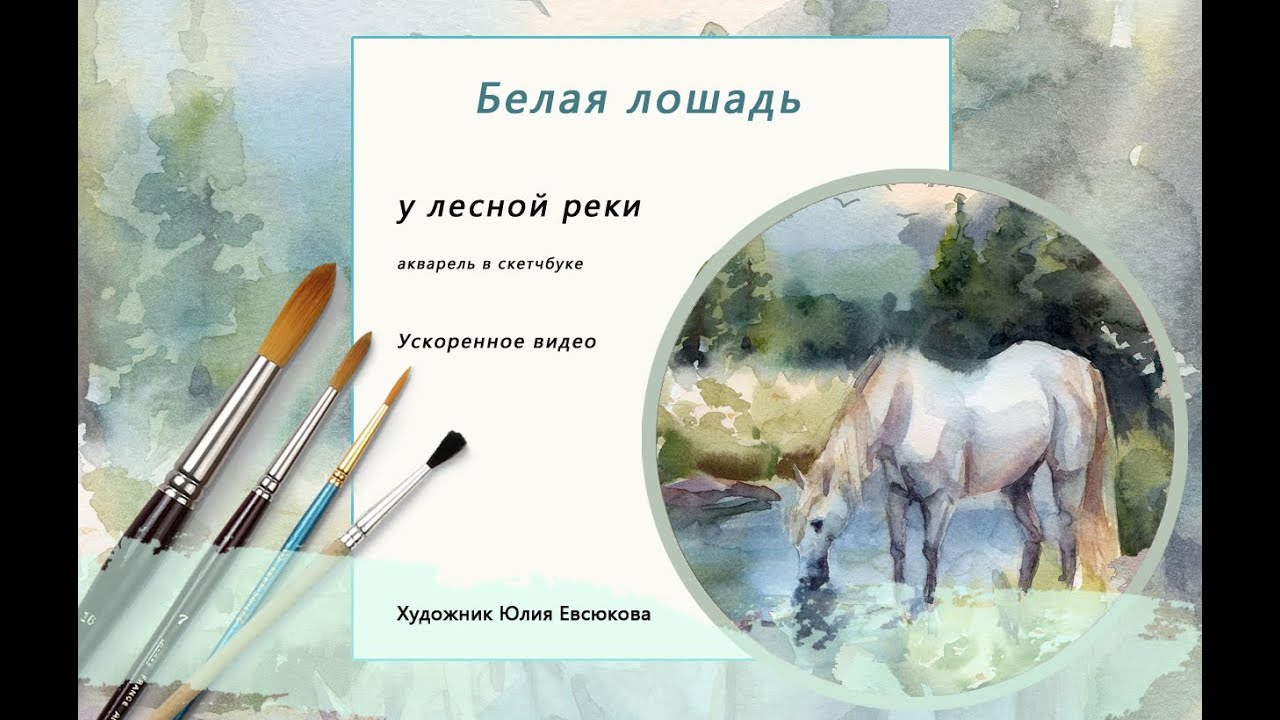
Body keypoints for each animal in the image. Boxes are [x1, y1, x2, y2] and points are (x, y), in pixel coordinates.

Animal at [783, 341, 1122, 605]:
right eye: (792, 526)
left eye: (817, 523)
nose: (807, 582)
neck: (902, 409)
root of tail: (1081, 365)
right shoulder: (897, 495)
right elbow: (898, 549)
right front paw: (899, 599)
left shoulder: (940, 500)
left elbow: (930, 551)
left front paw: (928, 603)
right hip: (1017, 483)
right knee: (1035, 536)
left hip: (1067, 474)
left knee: (1068, 528)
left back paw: (1067, 594)